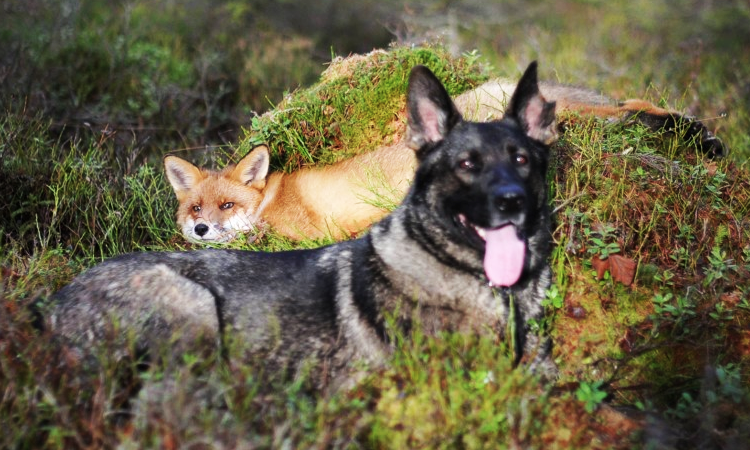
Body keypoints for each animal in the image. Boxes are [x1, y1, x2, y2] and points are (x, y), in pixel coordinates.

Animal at [165, 65, 725, 243]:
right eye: (195, 209)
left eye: (227, 206)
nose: (201, 229)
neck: (269, 201)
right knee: (631, 107)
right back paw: (696, 136)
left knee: (626, 114)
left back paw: (697, 139)